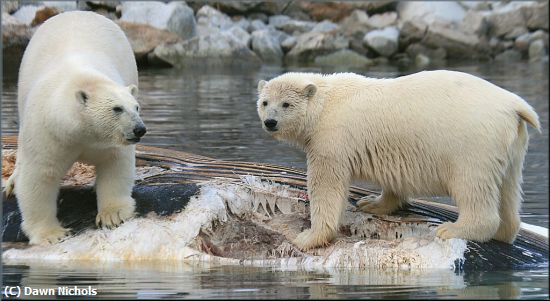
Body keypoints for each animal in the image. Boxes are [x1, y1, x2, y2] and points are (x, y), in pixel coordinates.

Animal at [4, 11, 147, 245]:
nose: (139, 129)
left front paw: (113, 215)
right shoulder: (47, 132)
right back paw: (13, 182)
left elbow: (116, 164)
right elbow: (39, 176)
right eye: (117, 108)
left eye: (136, 107)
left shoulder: (110, 142)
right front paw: (52, 235)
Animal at [258, 71, 544, 250]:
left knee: (472, 185)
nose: (270, 122)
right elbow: (393, 179)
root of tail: (515, 106)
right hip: (511, 146)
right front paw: (372, 203)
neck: (326, 104)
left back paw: (454, 229)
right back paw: (505, 231)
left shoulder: (332, 139)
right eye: (265, 102)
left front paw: (307, 237)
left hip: (473, 143)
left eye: (286, 104)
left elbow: (326, 186)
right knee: (508, 187)